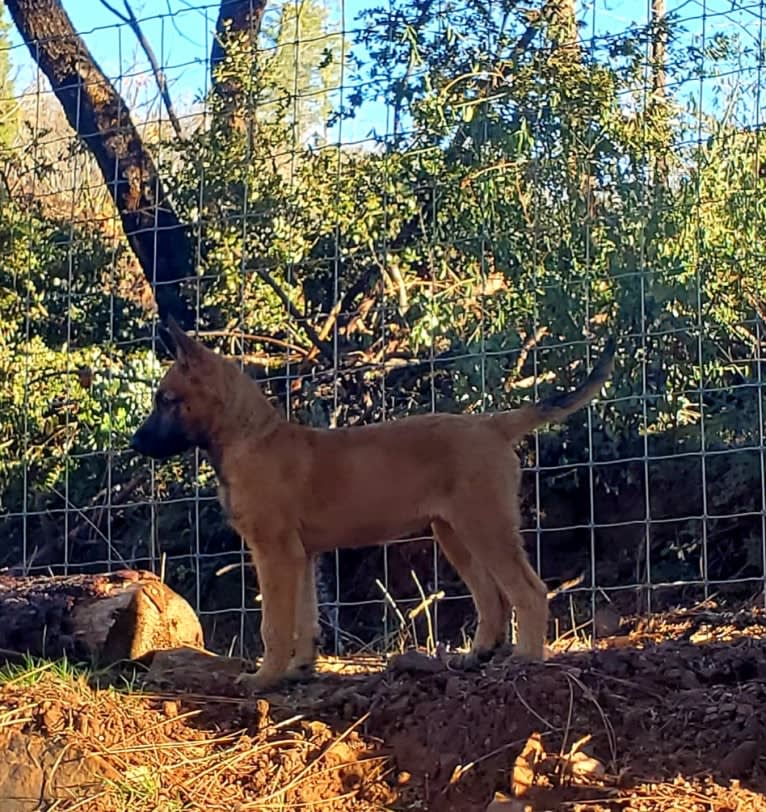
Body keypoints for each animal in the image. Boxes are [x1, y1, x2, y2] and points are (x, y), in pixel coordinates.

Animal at [132, 318, 616, 692]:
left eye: (166, 400)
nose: (136, 444)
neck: (250, 436)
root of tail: (493, 425)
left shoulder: (272, 552)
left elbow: (275, 624)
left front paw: (264, 679)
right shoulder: (300, 556)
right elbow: (306, 619)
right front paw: (298, 670)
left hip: (484, 527)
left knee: (528, 590)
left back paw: (527, 659)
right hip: (455, 534)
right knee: (490, 596)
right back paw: (478, 654)